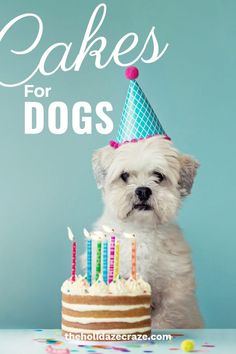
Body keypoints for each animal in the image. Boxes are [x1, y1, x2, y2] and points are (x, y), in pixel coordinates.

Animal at [89, 136, 202, 330]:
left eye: (159, 176)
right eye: (124, 175)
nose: (143, 190)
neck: (140, 231)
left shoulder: (176, 286)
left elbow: (167, 313)